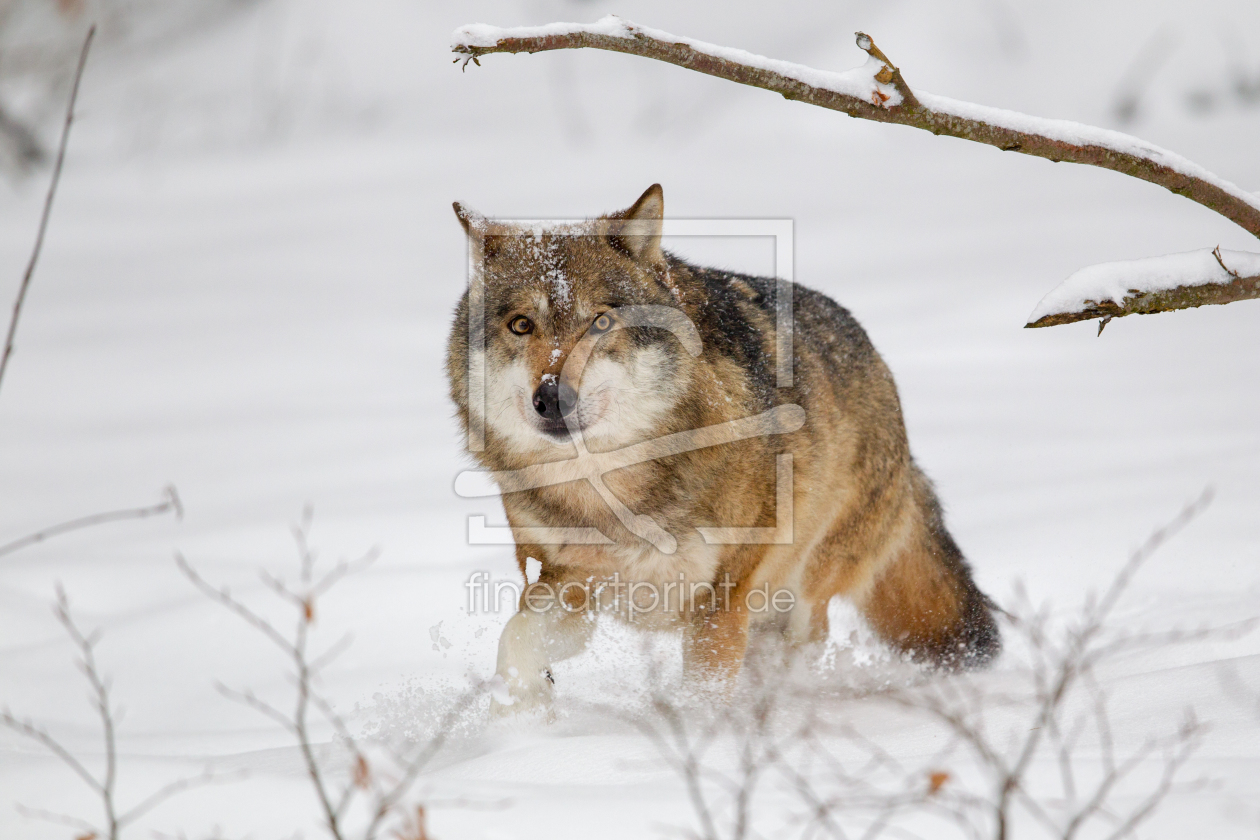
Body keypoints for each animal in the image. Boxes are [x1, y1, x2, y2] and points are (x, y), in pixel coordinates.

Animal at [448, 185, 997, 715]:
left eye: (601, 322)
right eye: (521, 325)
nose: (551, 399)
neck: (610, 492)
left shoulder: (722, 599)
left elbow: (704, 692)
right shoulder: (566, 589)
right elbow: (516, 640)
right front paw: (520, 714)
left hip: (803, 588)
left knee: (800, 644)